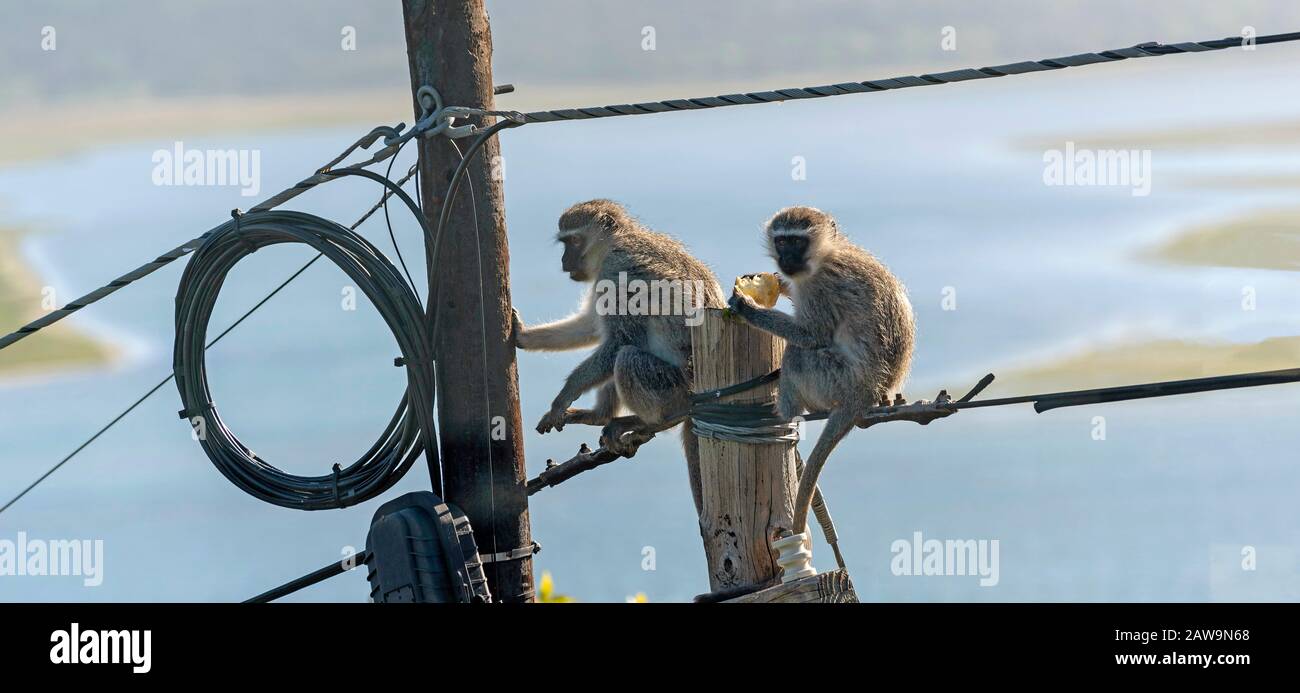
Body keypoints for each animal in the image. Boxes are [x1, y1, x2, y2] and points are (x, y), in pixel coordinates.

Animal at [512, 197, 728, 509]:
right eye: (564, 243)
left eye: (574, 241)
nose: (564, 262)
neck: (619, 240)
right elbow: (592, 326)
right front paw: (522, 335)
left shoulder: (618, 271)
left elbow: (619, 339)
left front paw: (564, 397)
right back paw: (599, 416)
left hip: (674, 387)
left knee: (626, 356)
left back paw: (653, 420)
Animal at [728, 205, 920, 535]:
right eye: (782, 242)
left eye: (797, 242)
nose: (786, 260)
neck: (828, 254)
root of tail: (866, 394)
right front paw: (780, 283)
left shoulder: (821, 287)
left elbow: (811, 335)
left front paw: (747, 307)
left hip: (833, 379)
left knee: (796, 354)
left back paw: (785, 413)